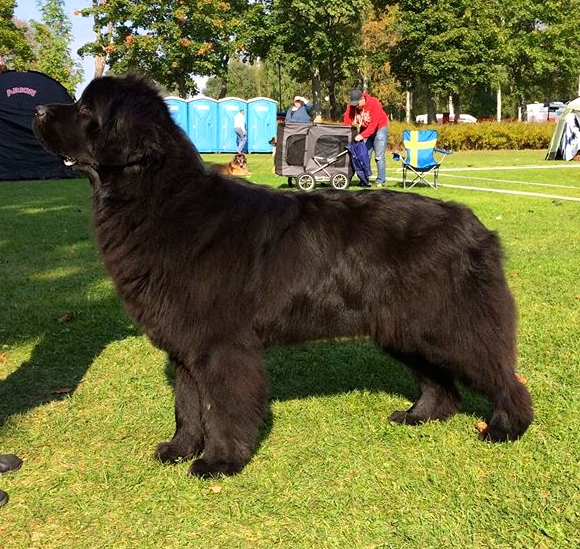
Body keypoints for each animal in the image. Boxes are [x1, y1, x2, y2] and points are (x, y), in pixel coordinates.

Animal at [33, 74, 533, 478]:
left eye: (85, 110)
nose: (37, 110)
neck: (159, 201)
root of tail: (475, 226)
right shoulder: (185, 342)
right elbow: (187, 405)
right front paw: (178, 450)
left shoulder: (221, 344)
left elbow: (221, 407)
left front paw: (219, 462)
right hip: (405, 327)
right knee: (439, 383)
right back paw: (421, 415)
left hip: (447, 324)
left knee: (499, 373)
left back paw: (507, 427)